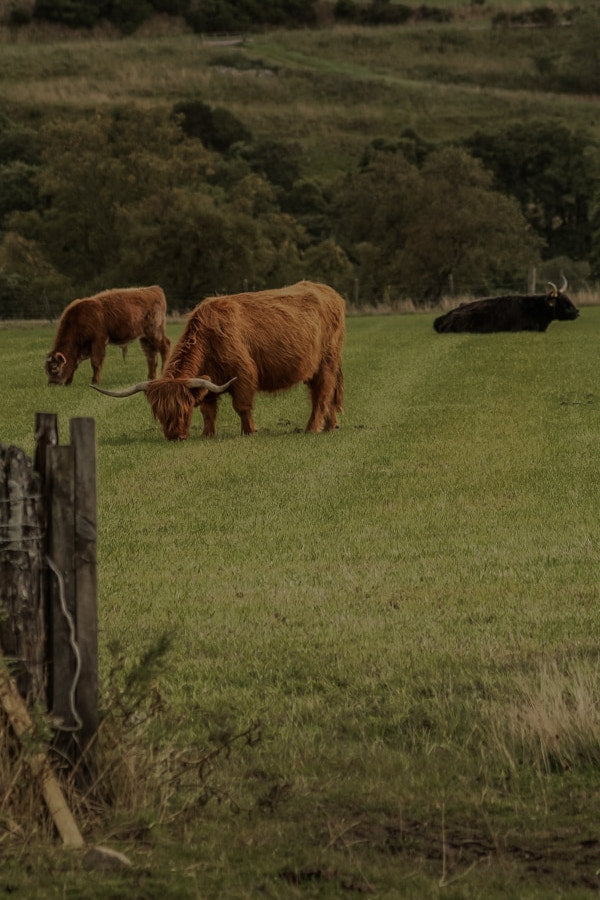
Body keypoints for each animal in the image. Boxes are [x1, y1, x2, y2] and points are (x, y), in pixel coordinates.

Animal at [92, 281, 346, 442]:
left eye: (183, 408)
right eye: (159, 412)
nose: (174, 436)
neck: (209, 340)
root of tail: (331, 293)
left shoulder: (243, 375)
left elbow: (242, 407)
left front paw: (248, 432)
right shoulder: (207, 380)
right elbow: (208, 410)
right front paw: (207, 434)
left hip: (327, 362)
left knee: (322, 394)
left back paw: (312, 428)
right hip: (314, 367)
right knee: (324, 393)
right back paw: (330, 425)